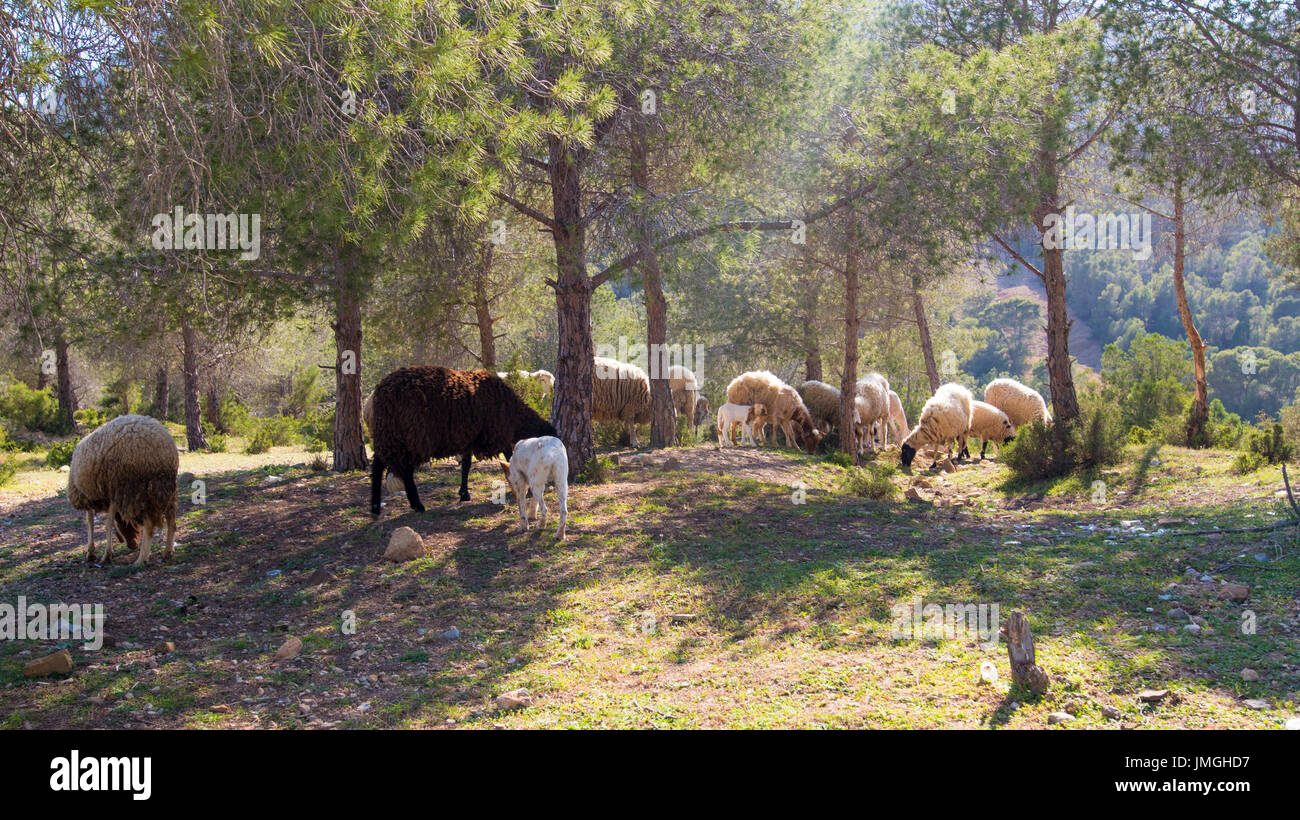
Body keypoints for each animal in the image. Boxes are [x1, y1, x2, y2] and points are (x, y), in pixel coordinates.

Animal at [67, 414, 178, 566]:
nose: (133, 546)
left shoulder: (97, 496)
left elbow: (95, 523)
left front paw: (96, 554)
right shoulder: (111, 496)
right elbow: (105, 521)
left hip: (134, 489)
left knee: (149, 525)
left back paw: (141, 559)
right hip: (164, 488)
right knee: (171, 520)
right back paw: (167, 551)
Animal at [369, 366, 556, 516]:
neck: (514, 415)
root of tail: (381, 392)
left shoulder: (469, 438)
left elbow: (466, 465)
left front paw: (464, 493)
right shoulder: (497, 432)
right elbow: (509, 458)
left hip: (389, 433)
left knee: (378, 465)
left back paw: (375, 507)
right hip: (409, 436)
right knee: (405, 471)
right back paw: (417, 505)